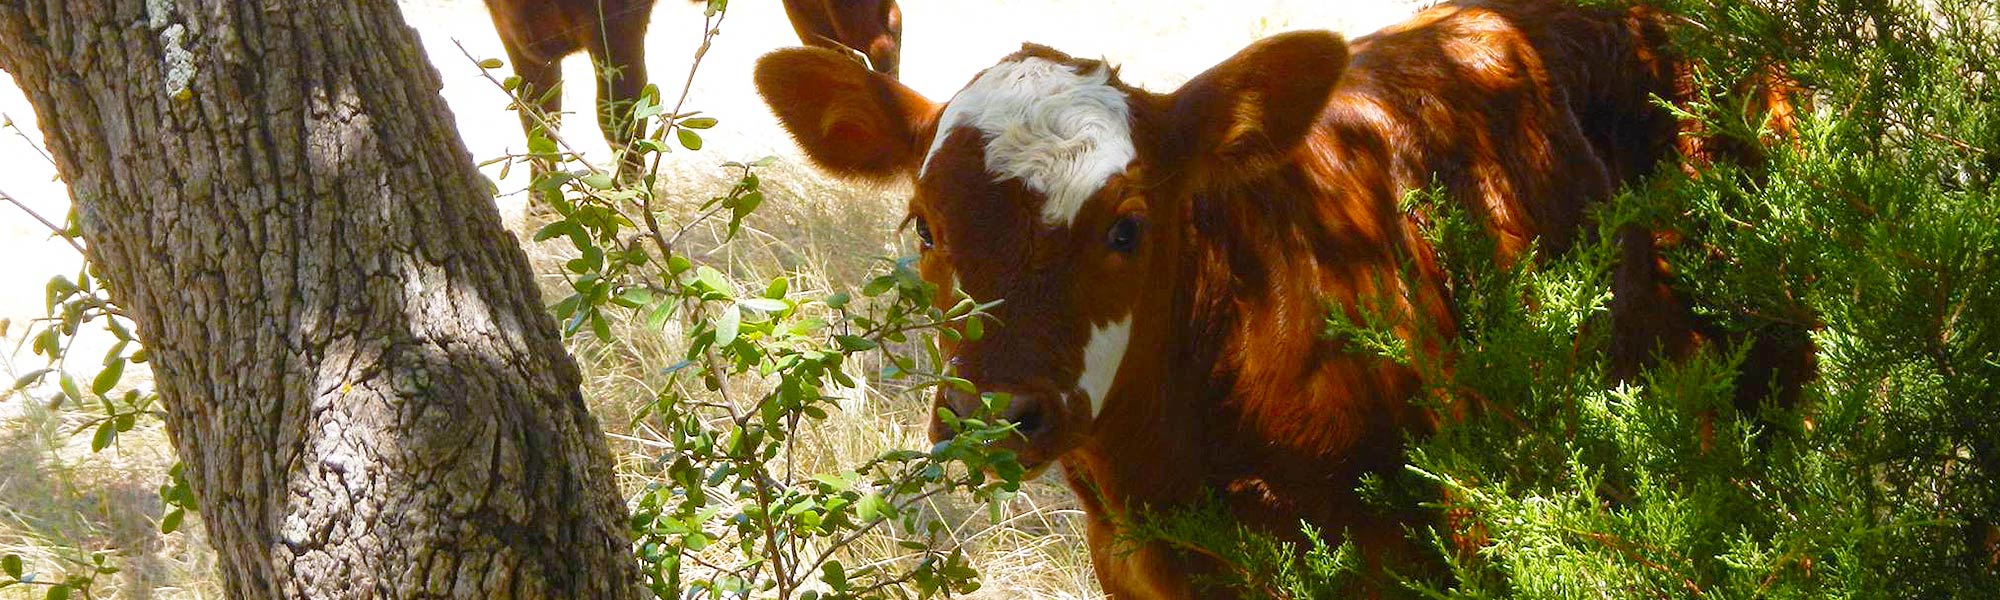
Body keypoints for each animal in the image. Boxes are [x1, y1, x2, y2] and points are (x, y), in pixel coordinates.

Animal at [482, 0, 902, 179]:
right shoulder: (513, 32)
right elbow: (535, 120)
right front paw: (543, 218)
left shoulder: (616, 21)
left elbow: (620, 115)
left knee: (877, 41)